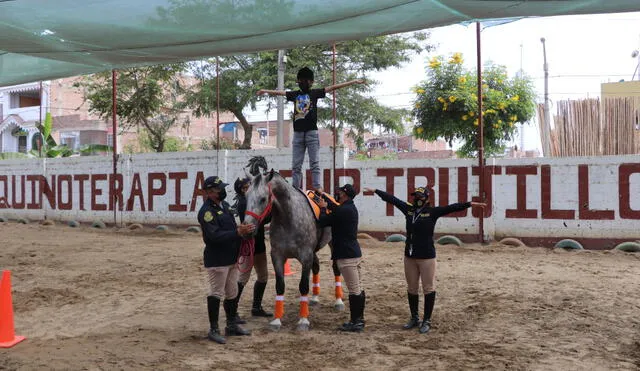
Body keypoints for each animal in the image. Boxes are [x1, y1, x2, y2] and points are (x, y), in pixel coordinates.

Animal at [242, 161, 340, 330]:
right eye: (246, 196)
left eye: (263, 199)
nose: (247, 229)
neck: (289, 217)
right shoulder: (277, 256)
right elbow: (280, 285)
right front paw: (277, 320)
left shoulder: (305, 256)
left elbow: (303, 286)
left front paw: (303, 320)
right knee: (316, 266)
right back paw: (314, 298)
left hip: (334, 245)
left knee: (335, 268)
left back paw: (339, 301)